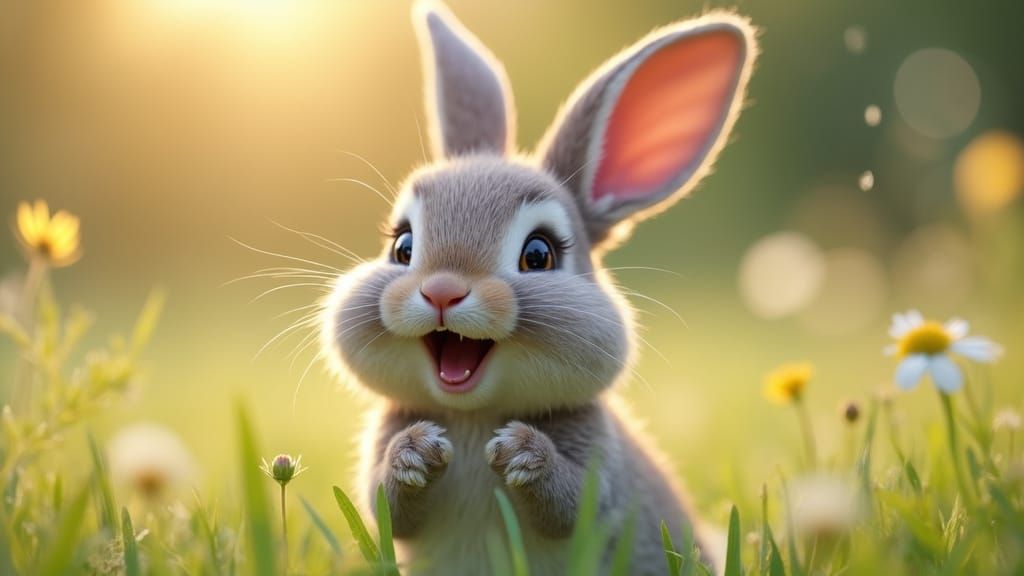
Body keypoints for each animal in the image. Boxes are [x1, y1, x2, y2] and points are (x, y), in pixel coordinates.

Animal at [321, 2, 757, 574]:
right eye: (403, 246)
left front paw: (521, 453)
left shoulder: (596, 472)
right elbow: (388, 504)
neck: (474, 415)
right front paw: (416, 452)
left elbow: (569, 505)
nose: (442, 291)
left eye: (539, 254)